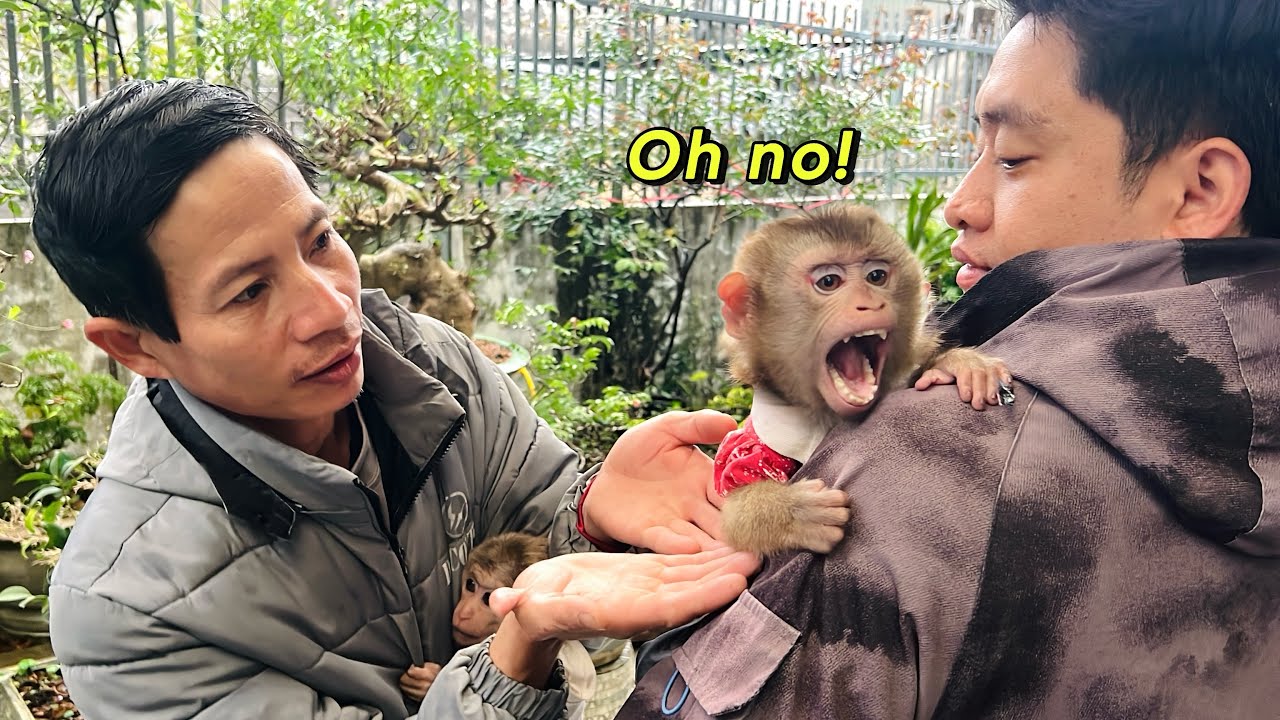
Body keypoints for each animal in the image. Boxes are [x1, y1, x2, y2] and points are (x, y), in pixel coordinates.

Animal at [714, 203, 1012, 556]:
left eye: (876, 277)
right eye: (829, 281)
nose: (869, 302)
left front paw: (958, 364)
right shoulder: (747, 448)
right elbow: (733, 516)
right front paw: (793, 512)